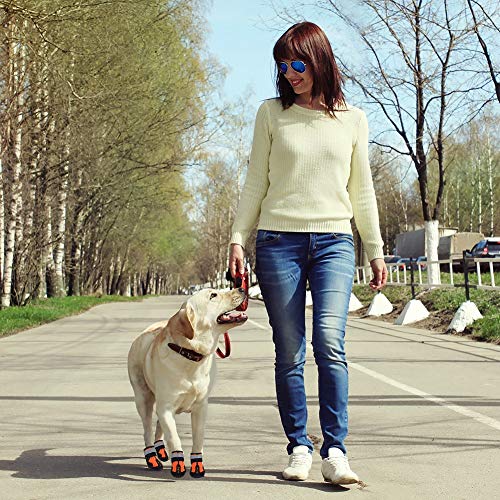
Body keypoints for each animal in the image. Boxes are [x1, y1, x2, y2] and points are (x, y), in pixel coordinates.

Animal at [128, 286, 247, 476]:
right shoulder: (166, 407)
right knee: (147, 429)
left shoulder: (201, 406)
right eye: (213, 295)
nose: (242, 288)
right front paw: (178, 461)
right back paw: (152, 457)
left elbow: (198, 437)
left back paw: (160, 448)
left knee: (158, 424)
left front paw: (197, 463)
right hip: (143, 398)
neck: (190, 356)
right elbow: (173, 436)